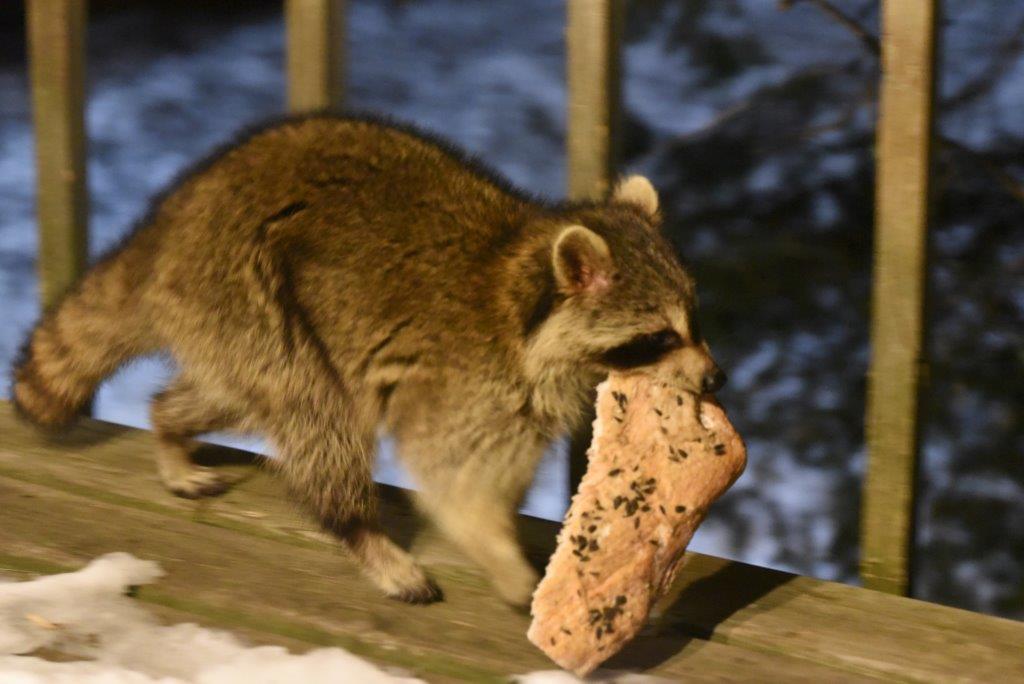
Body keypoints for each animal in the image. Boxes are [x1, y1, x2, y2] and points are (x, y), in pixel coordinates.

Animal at [11, 114, 725, 606]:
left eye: (693, 322)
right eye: (660, 337)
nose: (715, 376)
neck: (519, 281)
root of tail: (171, 223)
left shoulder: (522, 394)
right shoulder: (468, 377)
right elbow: (454, 477)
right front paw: (498, 552)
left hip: (227, 320)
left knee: (239, 396)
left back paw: (169, 423)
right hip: (248, 291)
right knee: (315, 410)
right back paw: (361, 532)